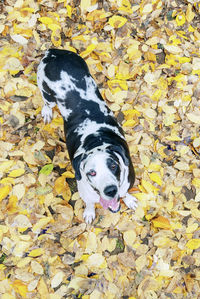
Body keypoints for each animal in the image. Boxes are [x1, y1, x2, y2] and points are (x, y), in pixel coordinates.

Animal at [37, 48, 138, 223]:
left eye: (113, 166)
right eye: (92, 172)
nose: (111, 190)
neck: (96, 140)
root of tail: (54, 52)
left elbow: (125, 193)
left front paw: (129, 199)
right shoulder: (86, 193)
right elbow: (90, 203)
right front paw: (90, 213)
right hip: (46, 92)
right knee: (47, 103)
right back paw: (47, 111)